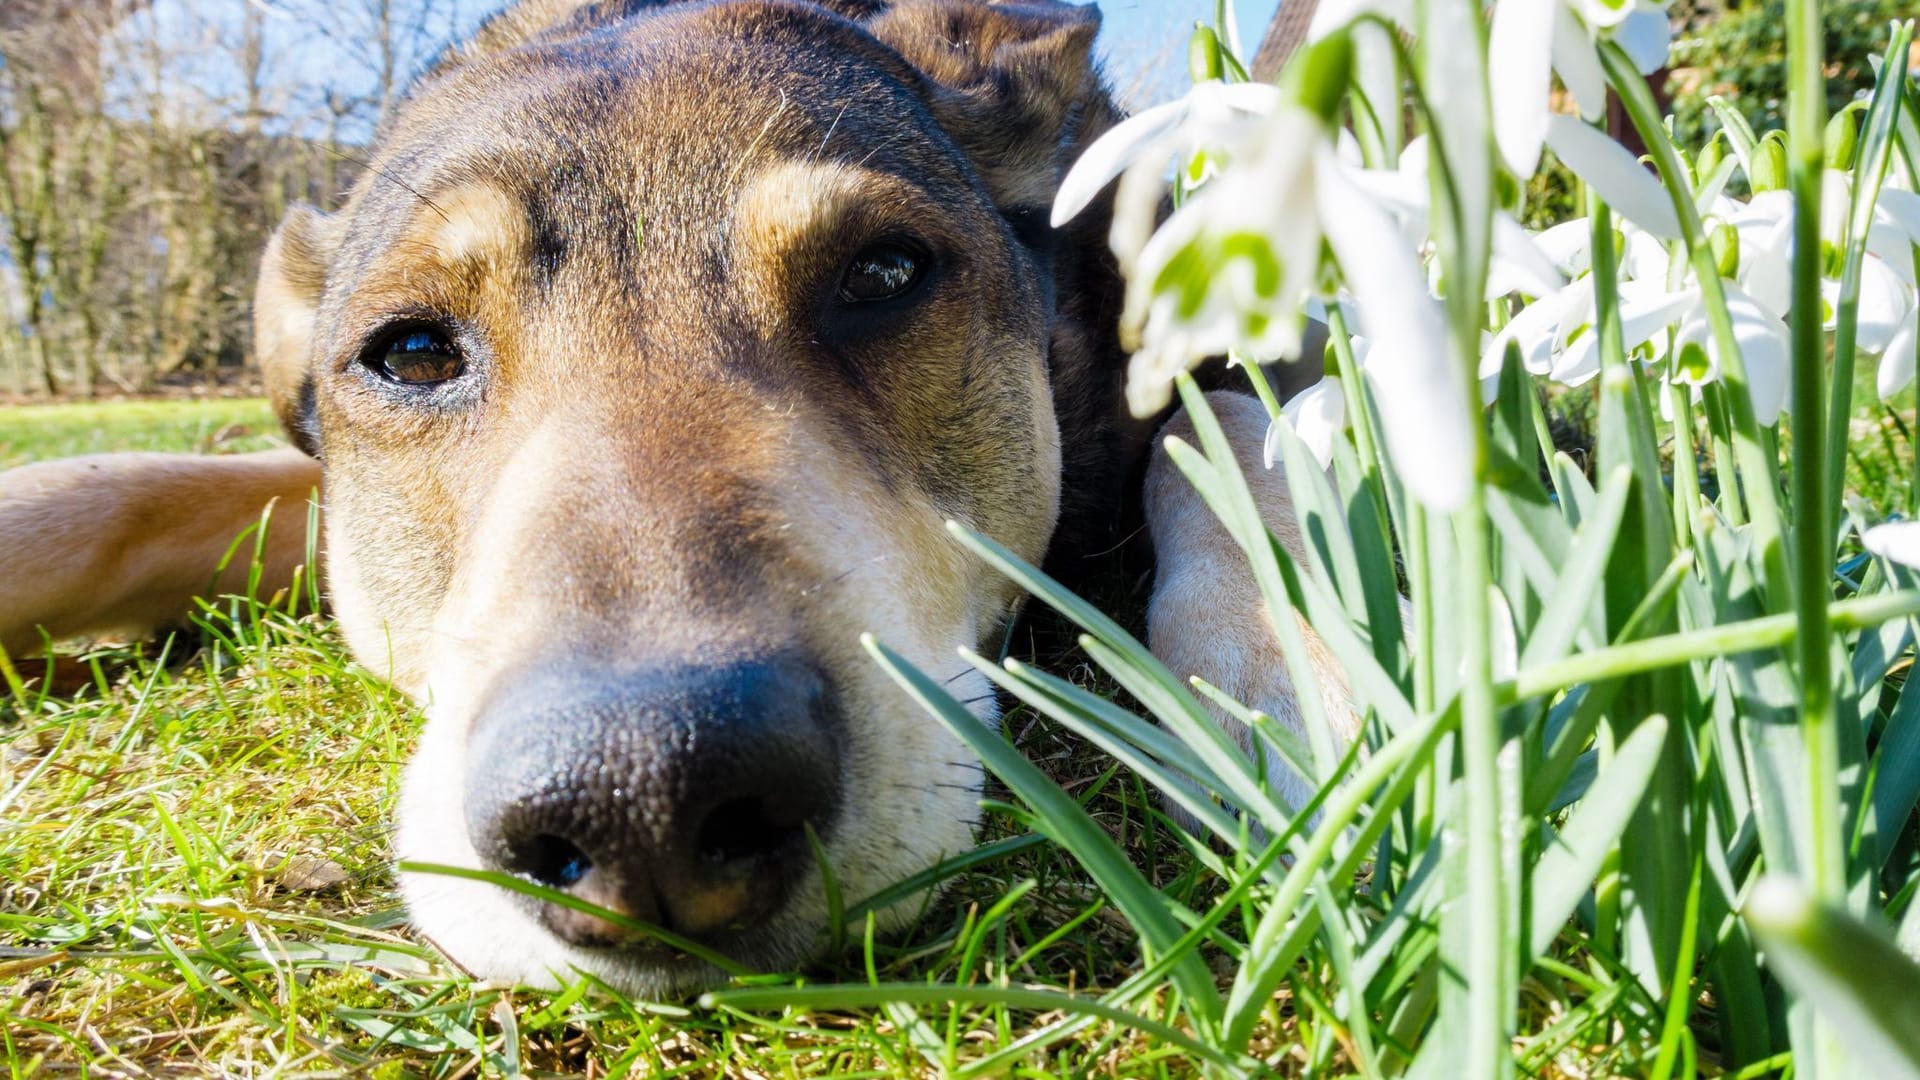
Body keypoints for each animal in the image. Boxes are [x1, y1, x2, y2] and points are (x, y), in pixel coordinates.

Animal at [0, 0, 1351, 991]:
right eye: (412, 351)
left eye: (884, 273)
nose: (644, 797)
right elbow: (123, 487)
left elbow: (1233, 431)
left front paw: (1296, 670)